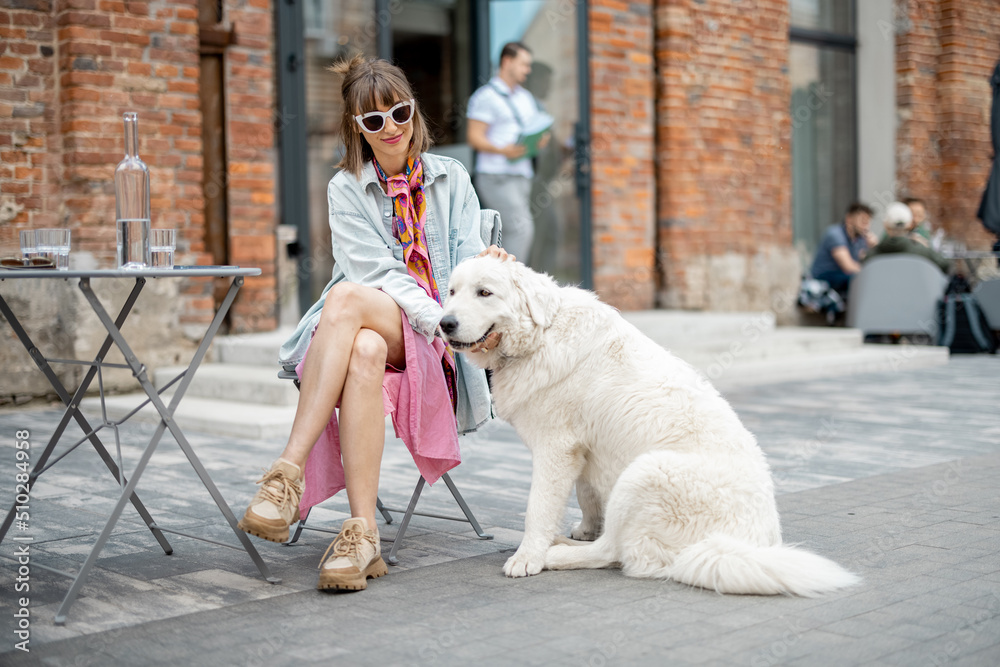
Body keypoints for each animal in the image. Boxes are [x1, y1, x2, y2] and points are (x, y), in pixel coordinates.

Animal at [444, 258, 860, 596]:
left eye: (484, 292)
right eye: (451, 292)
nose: (445, 322)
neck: (542, 333)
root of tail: (745, 545)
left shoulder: (555, 447)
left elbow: (538, 507)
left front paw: (528, 556)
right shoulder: (584, 447)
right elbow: (586, 493)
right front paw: (584, 527)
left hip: (645, 471)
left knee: (615, 553)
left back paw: (554, 554)